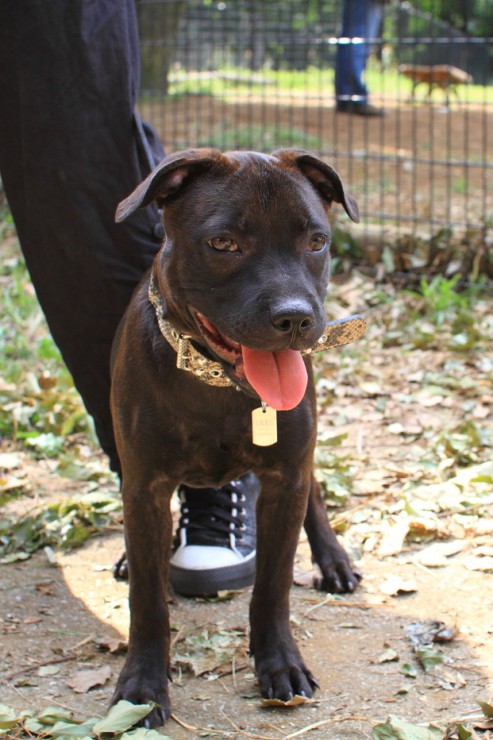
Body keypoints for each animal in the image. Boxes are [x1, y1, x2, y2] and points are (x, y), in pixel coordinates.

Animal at [110, 148, 362, 727]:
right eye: (224, 244)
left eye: (316, 241)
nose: (295, 319)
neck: (219, 386)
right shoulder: (145, 486)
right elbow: (147, 602)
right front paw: (142, 686)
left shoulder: (286, 476)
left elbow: (272, 585)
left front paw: (280, 664)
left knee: (315, 494)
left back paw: (333, 559)